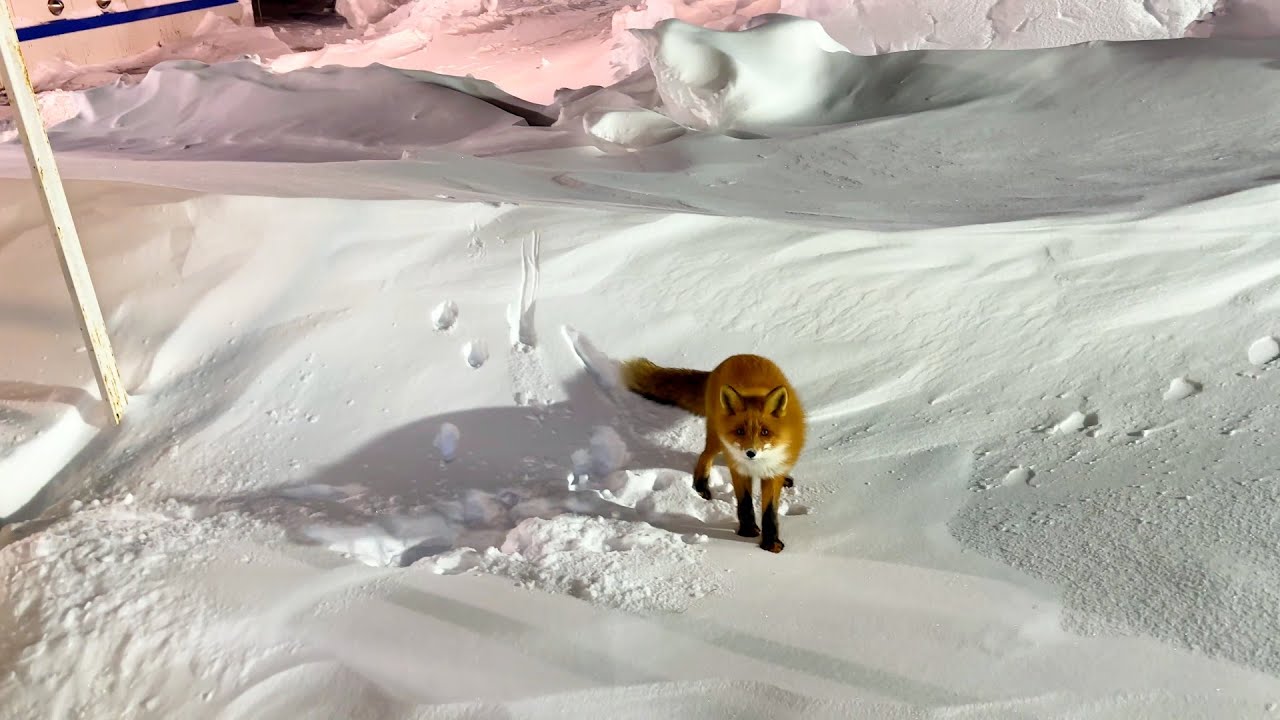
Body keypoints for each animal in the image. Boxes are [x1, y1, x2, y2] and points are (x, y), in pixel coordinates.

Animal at [620, 354, 805, 553]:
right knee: (705, 455)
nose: (750, 453)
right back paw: (701, 485)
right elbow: (745, 504)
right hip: (716, 438)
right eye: (740, 431)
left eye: (765, 432)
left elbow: (770, 512)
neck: (756, 466)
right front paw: (748, 531)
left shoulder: (773, 471)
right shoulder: (739, 469)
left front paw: (771, 543)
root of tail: (737, 357)